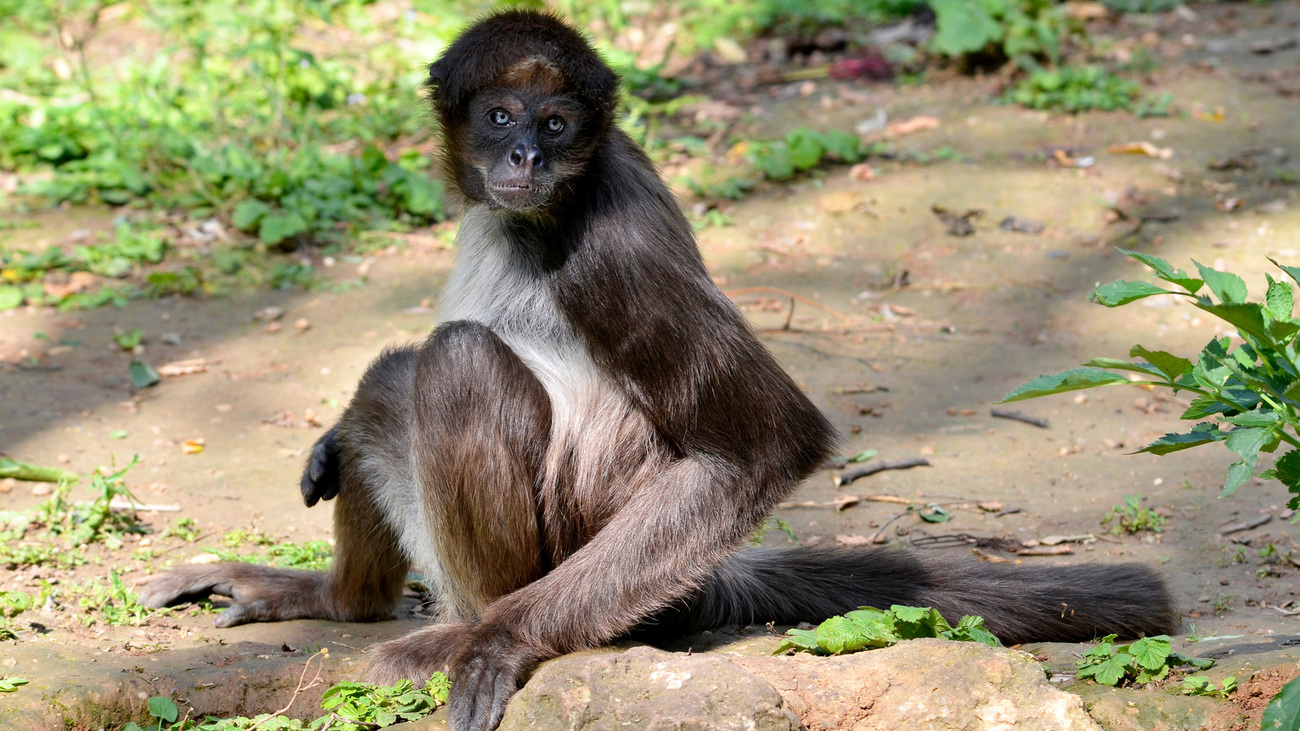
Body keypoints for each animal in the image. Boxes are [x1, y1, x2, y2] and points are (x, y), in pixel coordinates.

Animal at [139, 11, 1180, 728]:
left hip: (574, 570)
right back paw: (340, 600)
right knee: (388, 377)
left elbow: (765, 447)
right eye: (501, 115)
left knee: (453, 359)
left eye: (558, 124)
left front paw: (493, 643)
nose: (524, 154)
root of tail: (691, 589)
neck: (541, 216)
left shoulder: (612, 248)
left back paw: (453, 625)